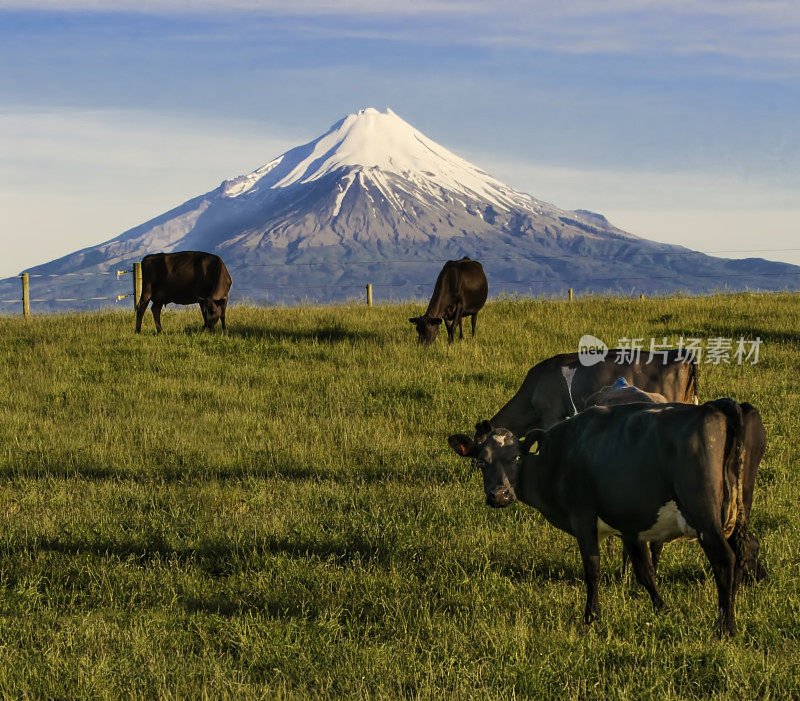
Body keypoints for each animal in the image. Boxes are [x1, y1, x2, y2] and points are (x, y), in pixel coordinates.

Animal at [450, 400, 752, 636]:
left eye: (516, 458)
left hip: (704, 518)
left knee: (725, 561)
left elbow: (593, 570)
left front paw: (591, 618)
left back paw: (725, 627)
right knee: (740, 557)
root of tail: (714, 408)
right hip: (735, 516)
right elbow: (645, 572)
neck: (559, 455)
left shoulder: (583, 518)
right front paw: (663, 609)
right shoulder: (629, 526)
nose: (499, 495)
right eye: (481, 461)